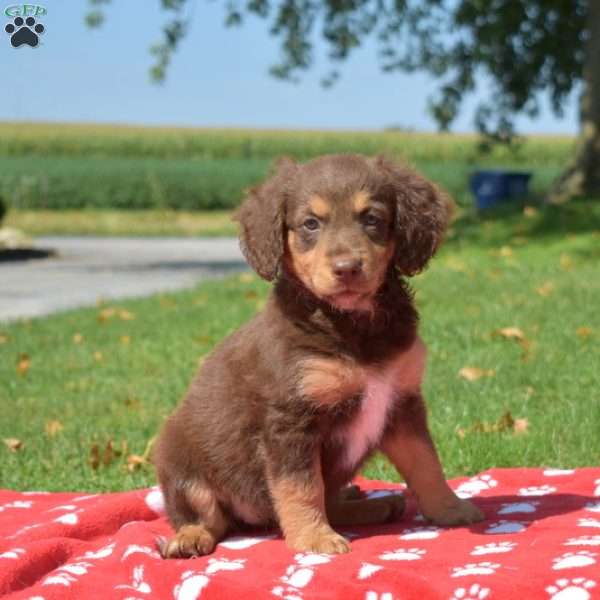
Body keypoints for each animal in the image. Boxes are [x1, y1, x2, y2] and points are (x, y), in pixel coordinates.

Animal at [154, 155, 482, 556]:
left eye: (371, 218)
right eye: (311, 223)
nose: (347, 269)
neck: (353, 325)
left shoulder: (401, 403)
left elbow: (426, 463)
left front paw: (451, 509)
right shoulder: (290, 421)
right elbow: (302, 486)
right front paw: (315, 538)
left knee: (332, 500)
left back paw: (374, 504)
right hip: (178, 459)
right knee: (209, 517)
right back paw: (189, 538)